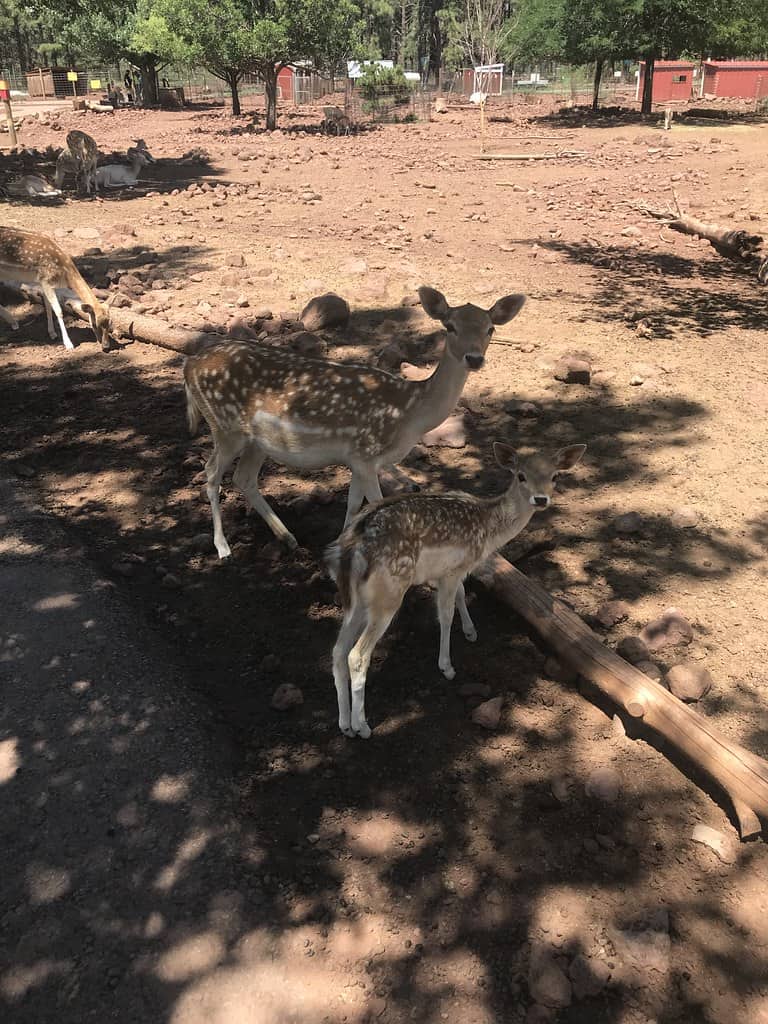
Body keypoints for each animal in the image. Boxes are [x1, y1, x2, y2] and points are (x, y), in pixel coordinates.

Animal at [183, 286, 526, 558]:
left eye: (490, 329)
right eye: (450, 326)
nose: (474, 358)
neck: (410, 414)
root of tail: (189, 366)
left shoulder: (358, 458)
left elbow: (353, 505)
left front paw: (337, 549)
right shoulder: (366, 451)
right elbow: (375, 504)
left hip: (258, 440)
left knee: (244, 478)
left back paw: (288, 538)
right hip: (224, 426)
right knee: (211, 473)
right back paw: (223, 547)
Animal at [324, 441, 587, 738]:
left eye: (555, 476)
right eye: (521, 475)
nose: (540, 499)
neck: (488, 530)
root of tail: (346, 551)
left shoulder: (451, 570)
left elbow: (462, 594)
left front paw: (471, 631)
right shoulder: (451, 571)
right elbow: (446, 615)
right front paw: (447, 667)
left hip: (354, 600)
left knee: (338, 650)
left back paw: (345, 724)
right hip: (388, 594)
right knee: (357, 655)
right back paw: (363, 726)